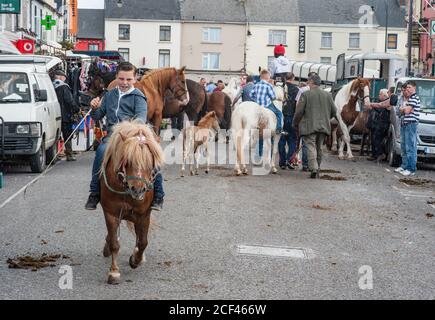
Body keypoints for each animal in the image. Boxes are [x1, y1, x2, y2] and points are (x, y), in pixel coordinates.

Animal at [99, 120, 164, 284]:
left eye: (150, 161)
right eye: (128, 161)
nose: (138, 189)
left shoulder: (144, 215)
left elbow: (143, 242)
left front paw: (135, 260)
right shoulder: (111, 214)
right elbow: (115, 243)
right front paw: (114, 272)